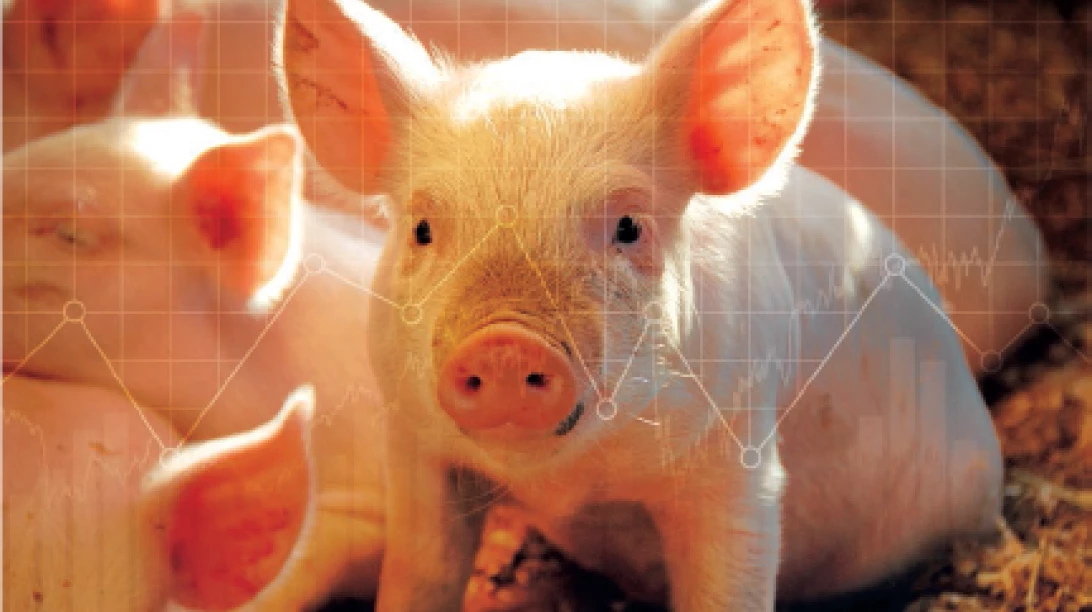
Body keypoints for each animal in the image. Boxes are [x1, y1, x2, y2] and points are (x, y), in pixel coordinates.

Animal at [280, 0, 1007, 610]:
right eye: (423, 228)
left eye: (628, 226)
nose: (506, 342)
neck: (574, 485)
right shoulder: (414, 445)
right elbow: (421, 571)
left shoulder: (738, 455)